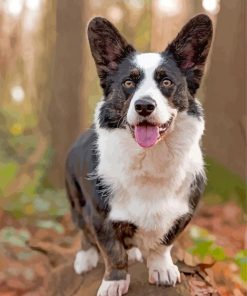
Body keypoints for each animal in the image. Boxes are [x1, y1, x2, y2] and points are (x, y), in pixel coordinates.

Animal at [65, 14, 212, 296]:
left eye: (166, 82)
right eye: (128, 82)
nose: (144, 106)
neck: (150, 157)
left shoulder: (183, 213)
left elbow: (163, 244)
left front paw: (162, 269)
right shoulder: (99, 215)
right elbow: (112, 252)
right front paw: (114, 282)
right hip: (75, 199)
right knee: (84, 232)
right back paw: (86, 258)